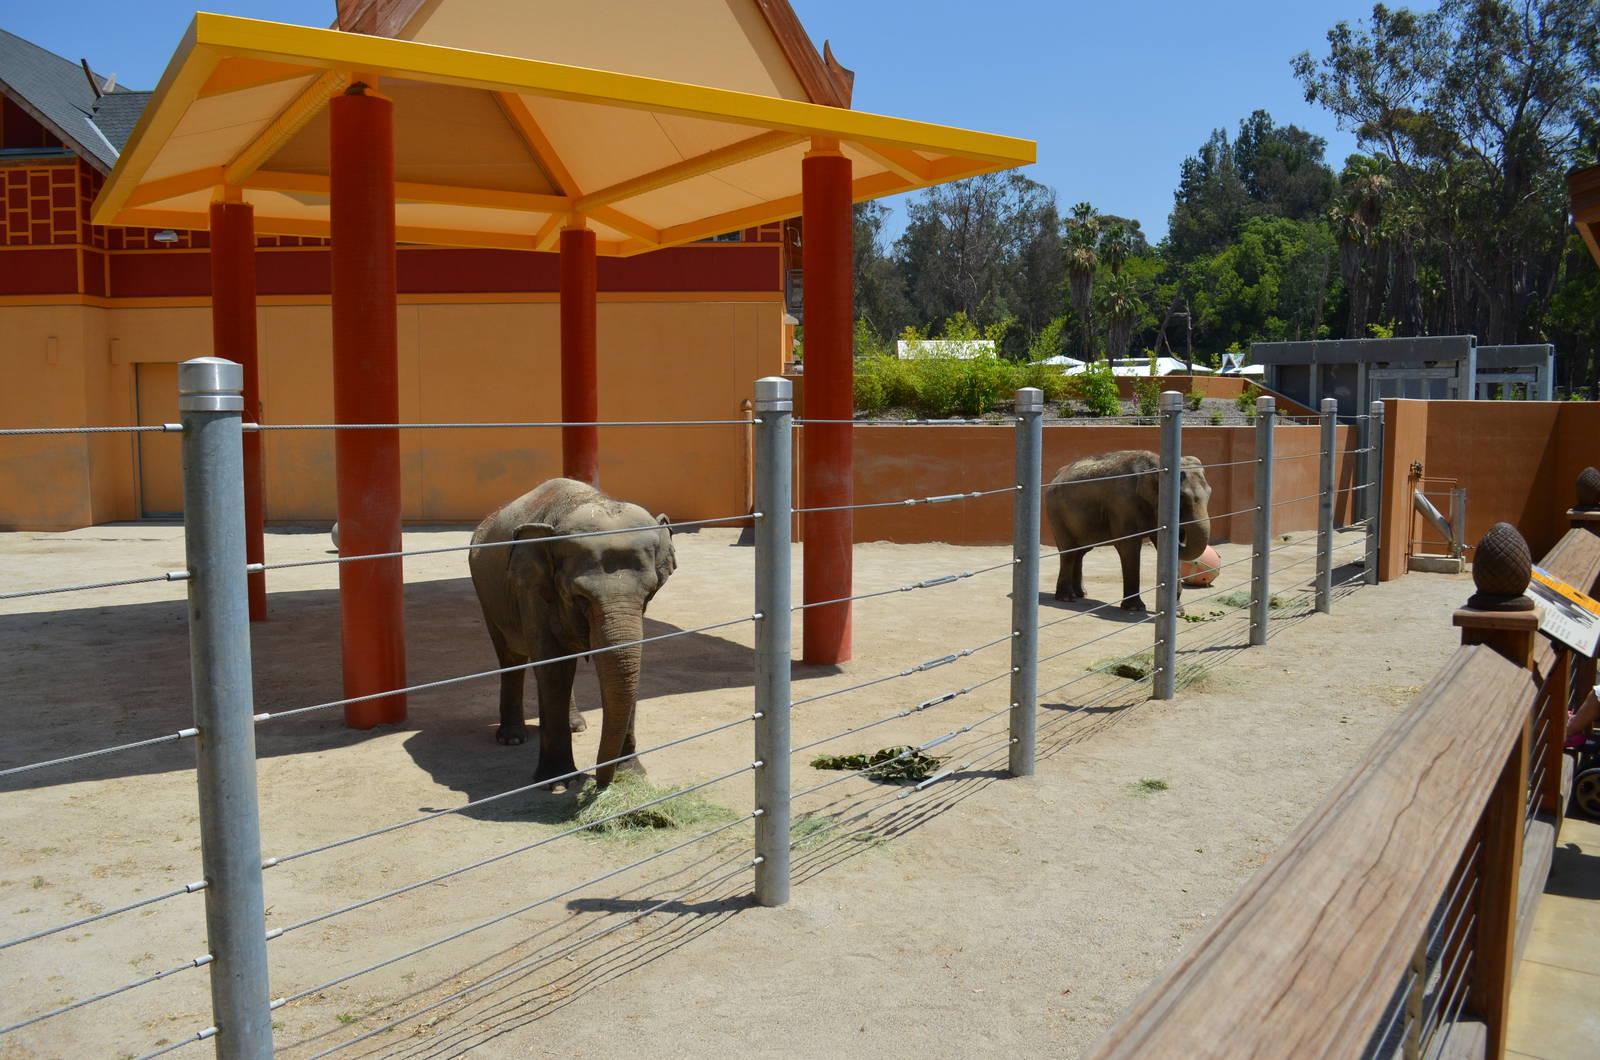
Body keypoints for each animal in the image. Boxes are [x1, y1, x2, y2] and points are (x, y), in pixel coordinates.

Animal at [469, 478, 676, 792]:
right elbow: (553, 667)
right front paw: (558, 784)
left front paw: (632, 775)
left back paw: (575, 725)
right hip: (488, 596)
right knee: (511, 658)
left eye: (650, 593)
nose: (601, 785)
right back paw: (512, 738)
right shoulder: (531, 588)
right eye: (580, 597)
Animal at [1045, 450, 1212, 612]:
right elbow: (1129, 546)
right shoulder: (1123, 505)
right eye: (1181, 496)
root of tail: (1057, 474)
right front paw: (1135, 608)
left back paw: (1081, 594)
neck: (1156, 465)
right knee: (1068, 551)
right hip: (1056, 513)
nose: (1183, 534)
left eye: (1210, 493)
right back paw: (1066, 598)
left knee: (1081, 551)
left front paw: (1178, 612)